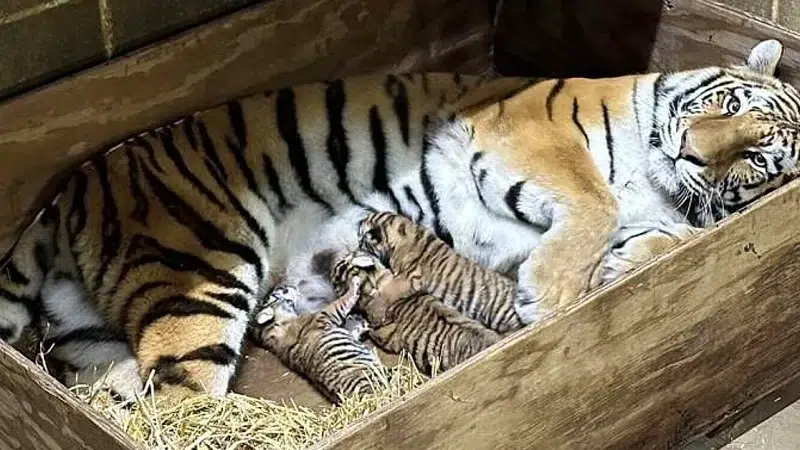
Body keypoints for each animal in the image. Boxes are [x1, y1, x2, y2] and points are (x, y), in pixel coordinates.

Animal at [0, 39, 796, 400]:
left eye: (757, 158)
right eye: (728, 105)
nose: (692, 151)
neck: (657, 178)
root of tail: (73, 188)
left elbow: (671, 236)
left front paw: (623, 266)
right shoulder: (525, 135)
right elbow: (593, 201)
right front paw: (553, 298)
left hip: (99, 336)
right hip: (200, 276)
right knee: (183, 407)